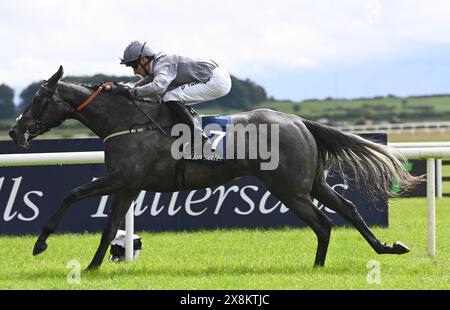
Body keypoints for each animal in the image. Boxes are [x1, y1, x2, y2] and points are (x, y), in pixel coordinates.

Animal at [7, 66, 422, 270]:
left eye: (39, 99)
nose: (14, 131)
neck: (127, 122)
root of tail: (299, 121)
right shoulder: (128, 185)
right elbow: (109, 228)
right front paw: (94, 267)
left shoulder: (123, 178)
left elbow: (72, 193)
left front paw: (41, 244)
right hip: (310, 182)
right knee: (347, 210)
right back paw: (387, 248)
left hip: (289, 187)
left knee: (323, 223)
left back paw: (317, 268)